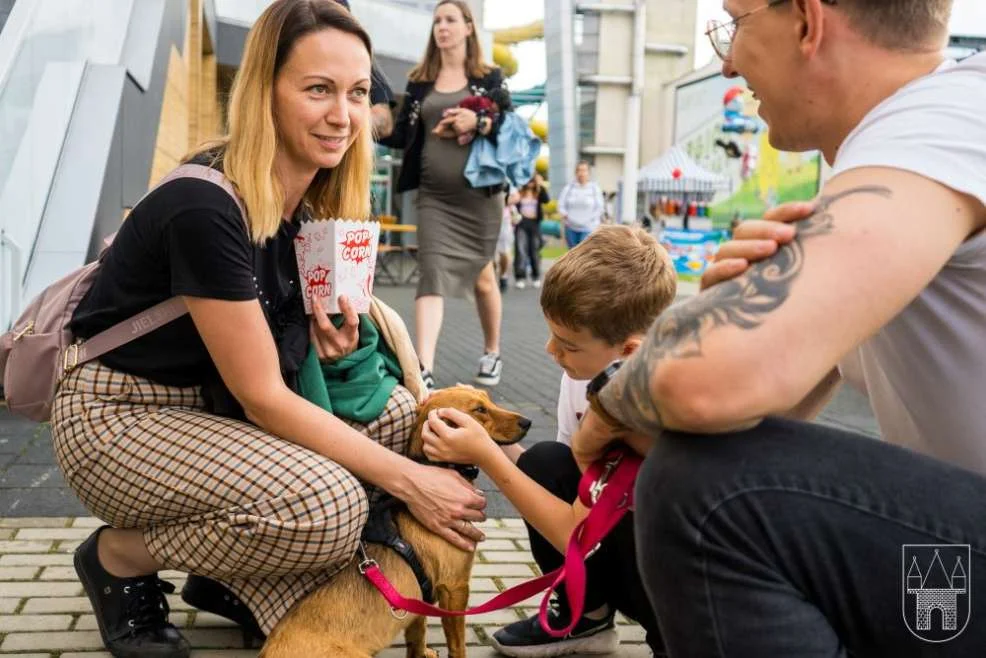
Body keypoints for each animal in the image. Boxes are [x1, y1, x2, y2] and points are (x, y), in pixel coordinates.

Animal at [258, 384, 528, 656]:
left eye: (489, 399)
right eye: (480, 410)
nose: (528, 422)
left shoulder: (420, 601)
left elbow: (417, 636)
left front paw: (422, 653)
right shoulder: (455, 587)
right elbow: (457, 645)